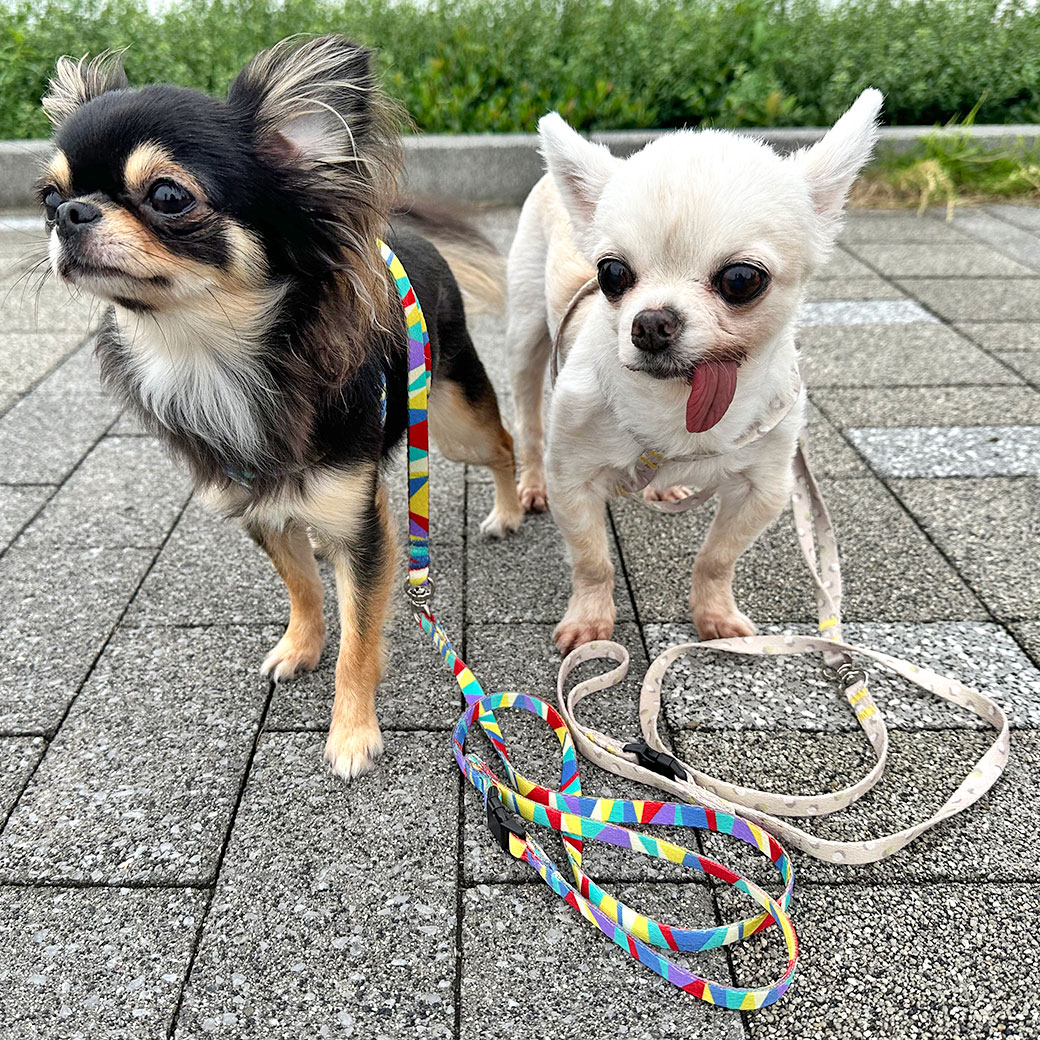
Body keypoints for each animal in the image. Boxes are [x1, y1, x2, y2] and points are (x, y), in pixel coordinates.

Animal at [37, 35, 524, 779]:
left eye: (168, 195)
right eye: (49, 194)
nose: (69, 213)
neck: (208, 360)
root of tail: (405, 237)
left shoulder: (362, 525)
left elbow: (360, 639)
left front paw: (351, 732)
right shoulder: (257, 507)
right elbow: (301, 587)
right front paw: (302, 644)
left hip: (452, 419)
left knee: (506, 445)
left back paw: (515, 505)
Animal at [507, 90, 883, 653]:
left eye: (742, 279)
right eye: (610, 273)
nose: (650, 323)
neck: (677, 410)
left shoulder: (764, 490)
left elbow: (717, 558)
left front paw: (715, 616)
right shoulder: (572, 480)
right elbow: (592, 561)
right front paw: (590, 622)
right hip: (526, 335)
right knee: (528, 420)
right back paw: (529, 484)